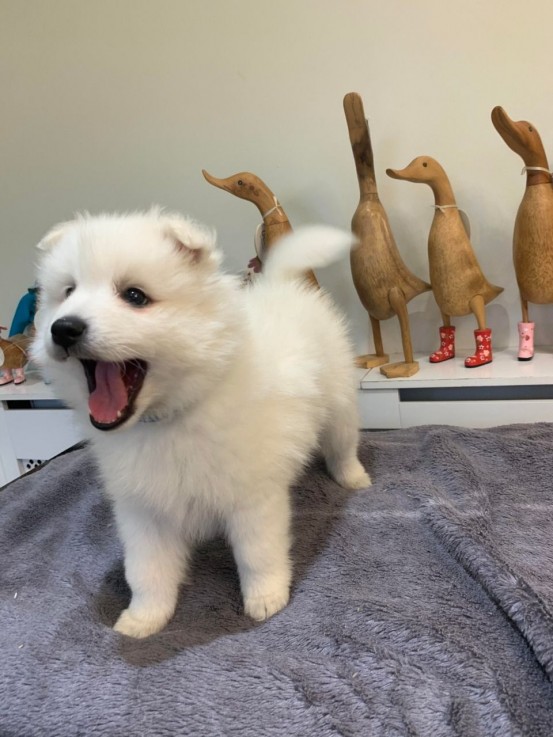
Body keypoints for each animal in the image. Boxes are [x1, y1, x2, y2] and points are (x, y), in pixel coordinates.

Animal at [31, 210, 370, 636]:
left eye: (135, 296)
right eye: (67, 292)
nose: (63, 327)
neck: (169, 417)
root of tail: (280, 285)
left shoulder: (252, 497)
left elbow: (258, 553)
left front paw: (266, 598)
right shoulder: (143, 509)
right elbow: (146, 569)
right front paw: (144, 618)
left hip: (339, 401)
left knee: (342, 443)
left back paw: (353, 477)